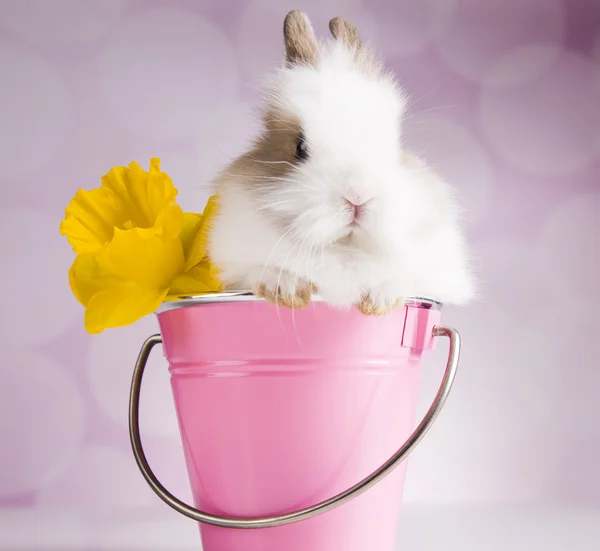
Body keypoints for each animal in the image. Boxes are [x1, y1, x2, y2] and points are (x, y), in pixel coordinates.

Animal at [206, 10, 474, 314]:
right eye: (300, 147)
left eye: (395, 146)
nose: (358, 196)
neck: (343, 249)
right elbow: (259, 270)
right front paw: (286, 288)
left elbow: (404, 279)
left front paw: (382, 299)